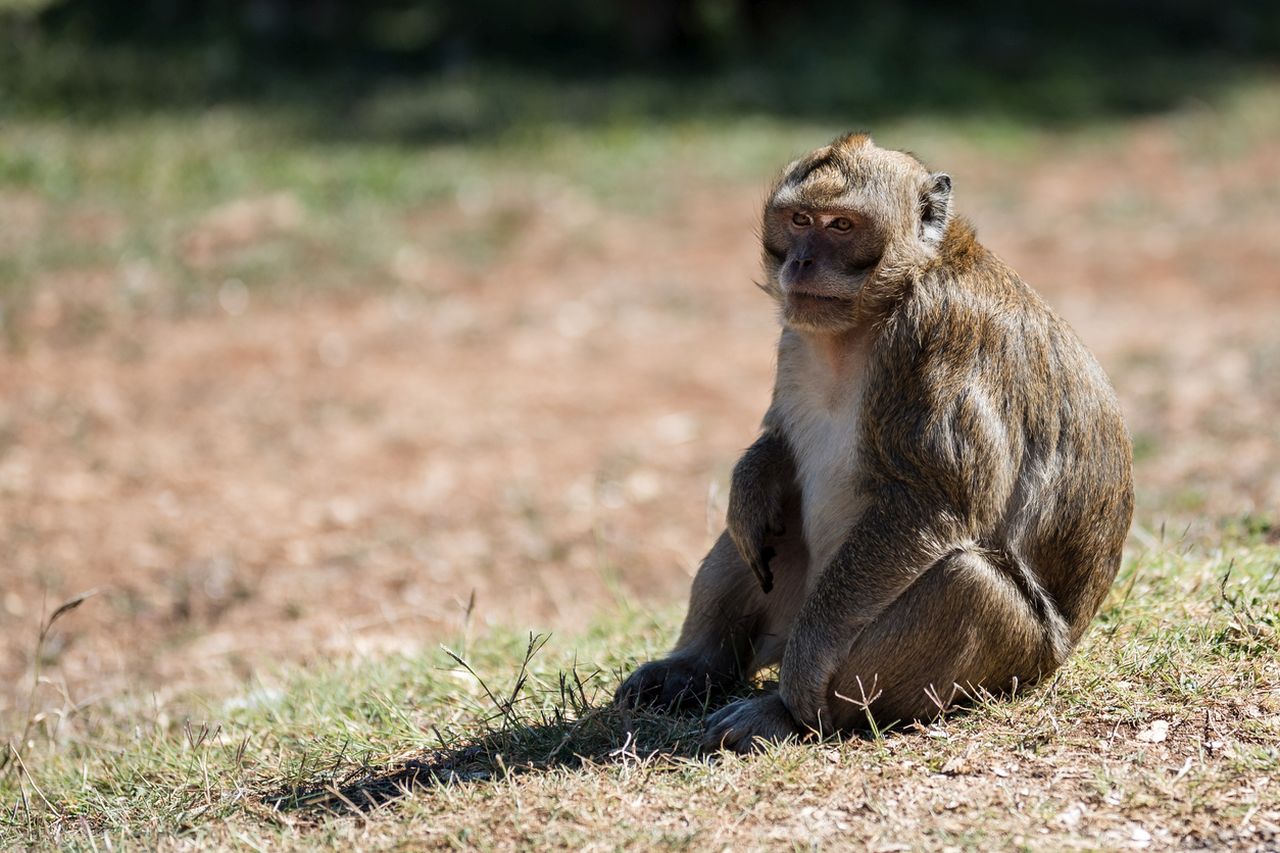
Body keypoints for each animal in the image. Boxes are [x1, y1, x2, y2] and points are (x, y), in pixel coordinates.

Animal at [614, 129, 1136, 747]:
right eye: (799, 219)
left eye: (841, 225)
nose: (802, 262)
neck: (872, 314)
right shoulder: (797, 333)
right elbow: (778, 442)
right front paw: (752, 480)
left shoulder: (934, 334)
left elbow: (931, 501)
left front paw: (798, 690)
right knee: (755, 539)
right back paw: (693, 668)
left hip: (1014, 657)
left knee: (964, 582)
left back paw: (790, 713)